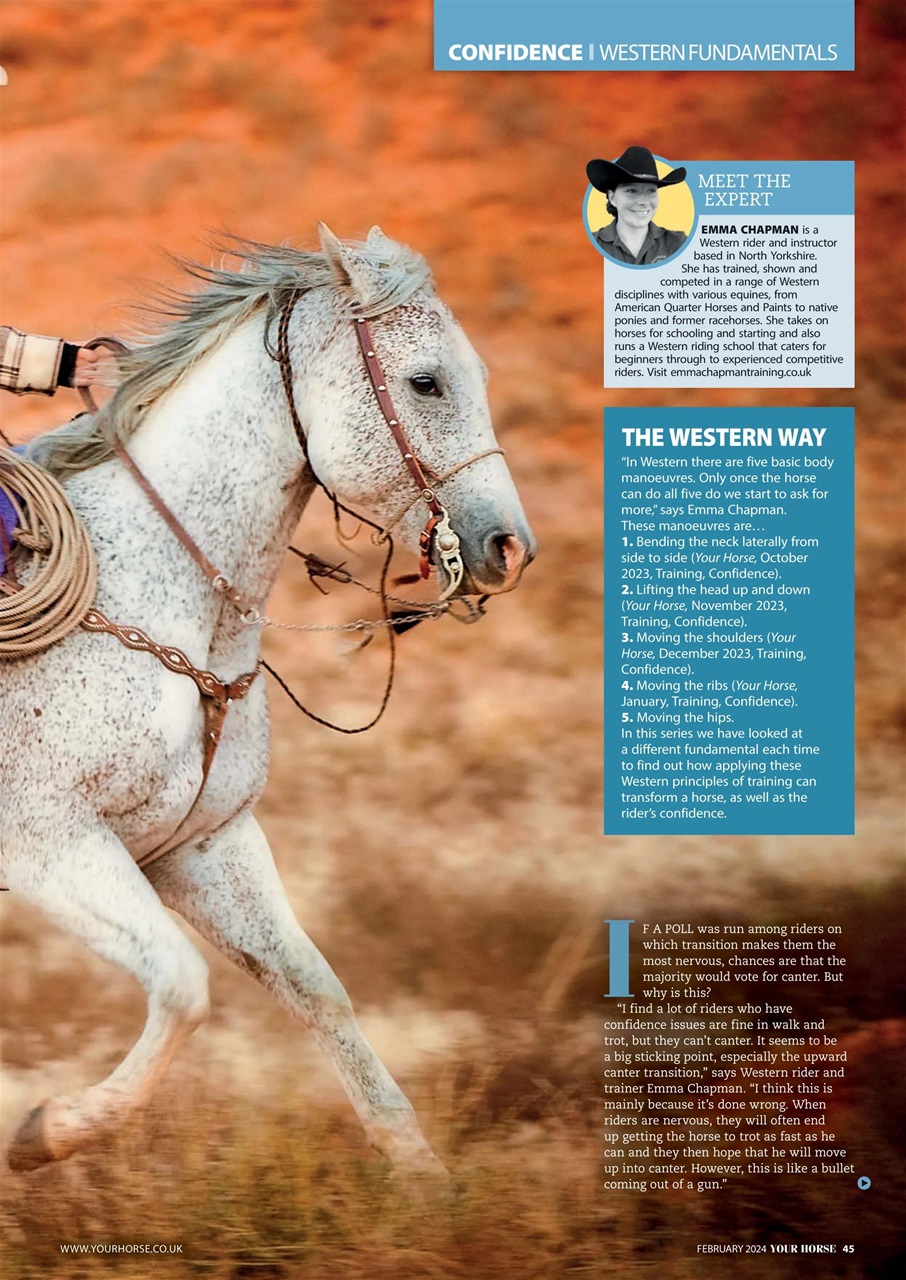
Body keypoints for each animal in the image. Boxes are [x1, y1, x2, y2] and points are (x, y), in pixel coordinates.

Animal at [0, 224, 534, 1174]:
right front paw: (40, 1133)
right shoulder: (48, 844)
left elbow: (317, 990)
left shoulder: (204, 846)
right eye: (425, 381)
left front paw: (425, 1179)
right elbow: (183, 989)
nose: (509, 546)